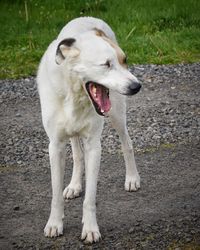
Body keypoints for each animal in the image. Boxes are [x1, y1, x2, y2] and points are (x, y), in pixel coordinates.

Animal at [37, 16, 141, 243]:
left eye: (124, 60)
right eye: (106, 64)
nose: (136, 86)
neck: (74, 95)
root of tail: (89, 18)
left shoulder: (94, 145)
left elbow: (90, 197)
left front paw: (91, 229)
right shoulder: (55, 146)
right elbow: (55, 194)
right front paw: (54, 224)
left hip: (117, 114)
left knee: (127, 143)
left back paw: (132, 178)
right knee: (77, 154)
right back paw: (74, 185)